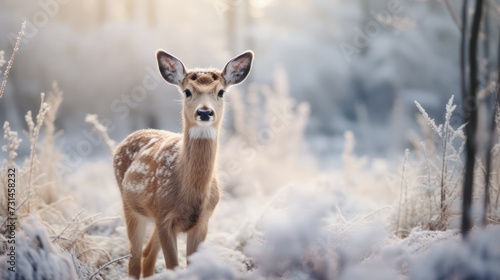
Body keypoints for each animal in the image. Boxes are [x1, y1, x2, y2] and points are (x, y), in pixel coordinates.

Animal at [113, 49, 254, 278]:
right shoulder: (163, 217)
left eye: (221, 92)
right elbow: (173, 266)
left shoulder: (202, 222)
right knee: (134, 259)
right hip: (131, 207)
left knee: (147, 256)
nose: (204, 112)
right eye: (187, 91)